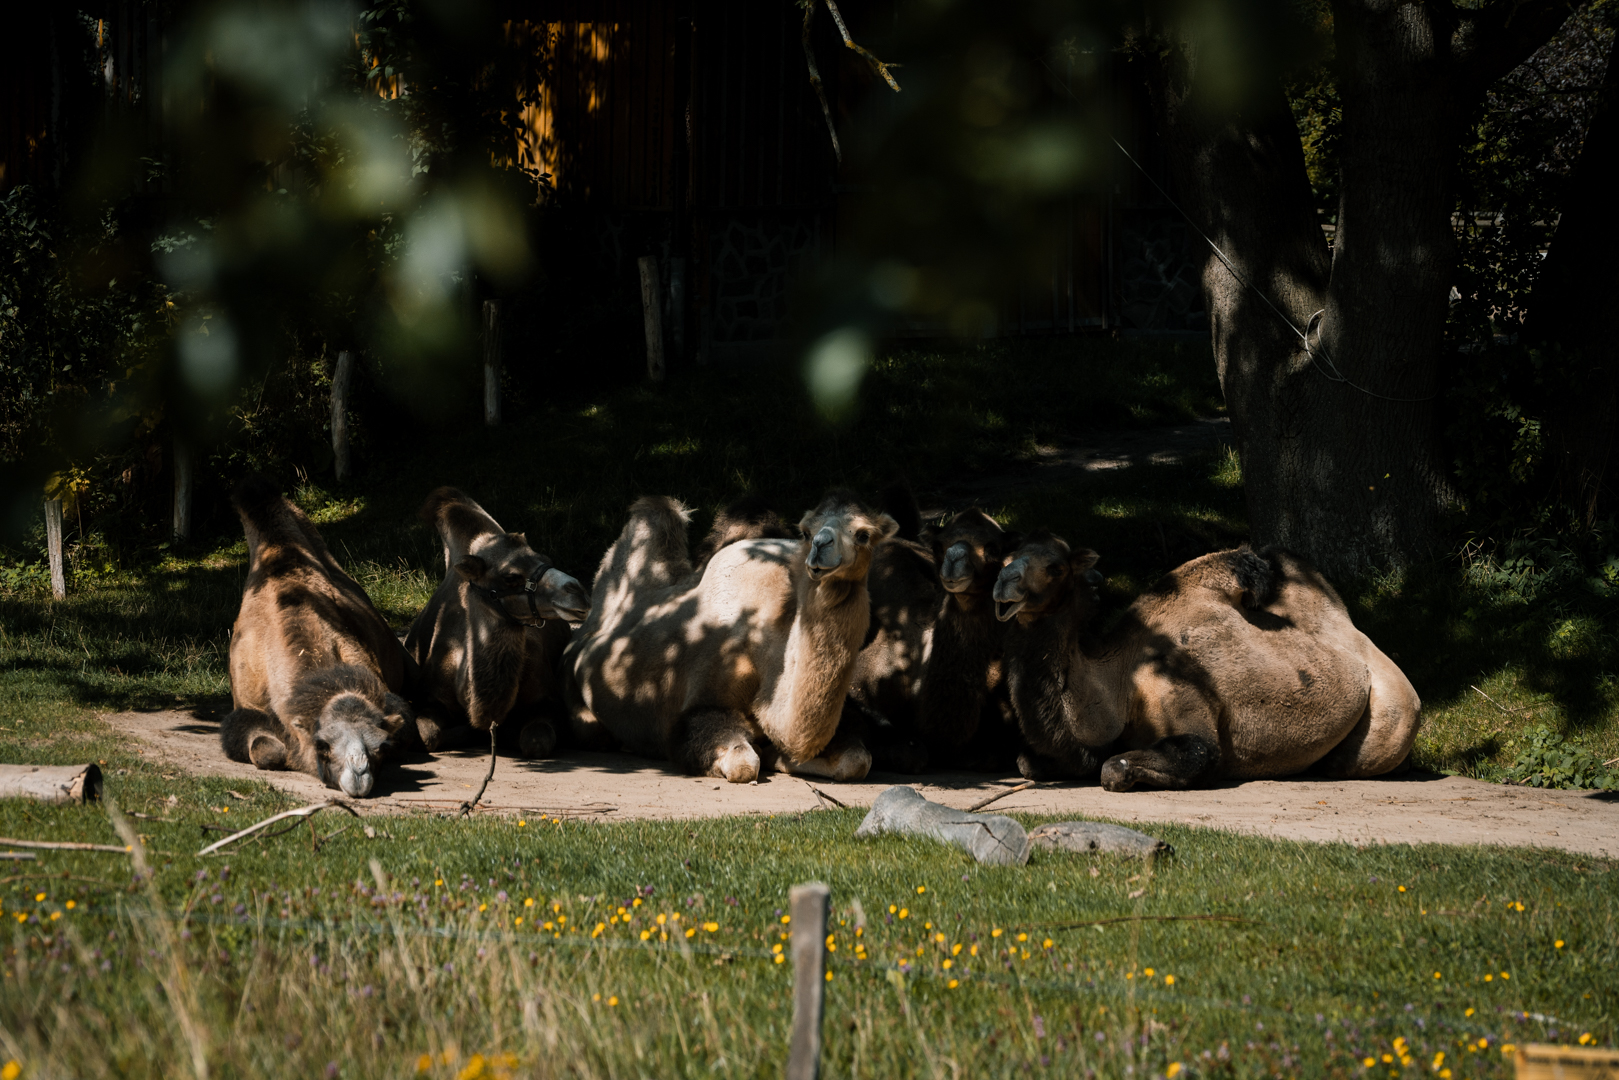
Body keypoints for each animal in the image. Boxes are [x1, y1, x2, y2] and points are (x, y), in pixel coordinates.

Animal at [404, 488, 591, 757]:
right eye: (511, 576)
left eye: (546, 558)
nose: (579, 592)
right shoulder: (432, 699)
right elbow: (428, 736)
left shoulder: (547, 702)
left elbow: (536, 742)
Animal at [563, 490, 898, 782]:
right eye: (805, 531)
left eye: (863, 534)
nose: (820, 546)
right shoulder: (701, 705)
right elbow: (743, 763)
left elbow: (857, 760)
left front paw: (779, 756)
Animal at [993, 535, 1421, 789]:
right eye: (1004, 559)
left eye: (1056, 567)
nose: (1003, 586)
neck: (1122, 675)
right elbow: (1028, 762)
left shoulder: (1182, 695)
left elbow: (1126, 766)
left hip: (1395, 711)